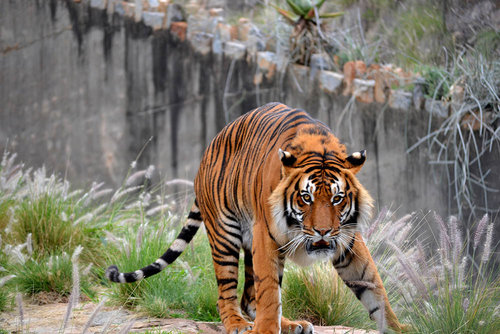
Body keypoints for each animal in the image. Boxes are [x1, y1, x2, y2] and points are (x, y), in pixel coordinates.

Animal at [106, 102, 410, 334]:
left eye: (337, 198)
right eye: (306, 197)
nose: (323, 231)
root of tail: (208, 149)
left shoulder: (347, 239)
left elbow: (374, 287)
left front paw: (398, 328)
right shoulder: (267, 235)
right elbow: (270, 294)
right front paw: (265, 330)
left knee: (250, 298)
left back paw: (291, 325)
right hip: (226, 235)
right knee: (227, 294)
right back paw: (238, 324)